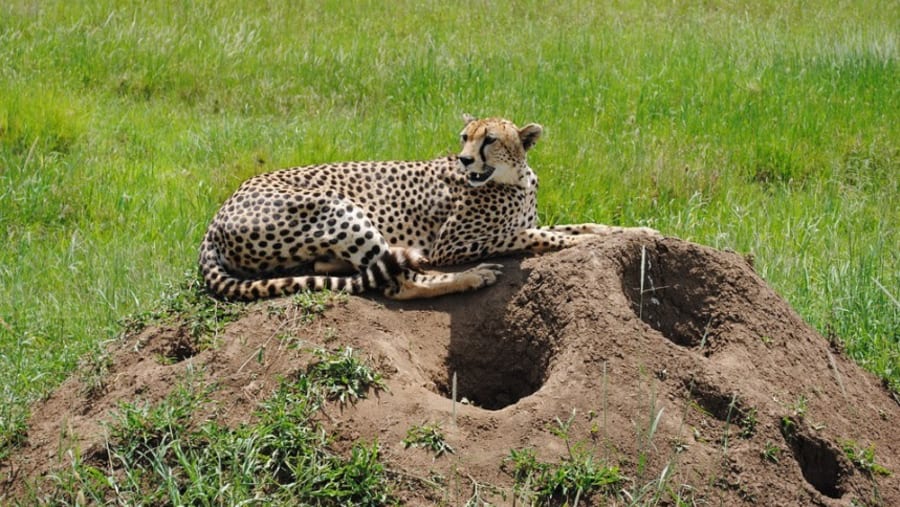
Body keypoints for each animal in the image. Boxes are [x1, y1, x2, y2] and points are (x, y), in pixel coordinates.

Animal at [199, 115, 657, 301]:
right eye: (464, 138)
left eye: (490, 139)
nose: (466, 160)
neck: (515, 179)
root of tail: (215, 218)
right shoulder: (451, 244)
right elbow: (540, 235)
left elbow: (584, 226)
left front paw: (641, 232)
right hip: (337, 208)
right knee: (396, 282)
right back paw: (472, 277)